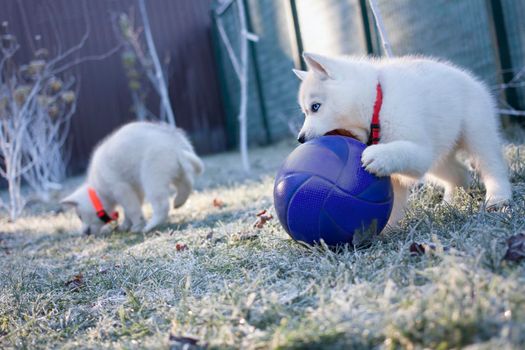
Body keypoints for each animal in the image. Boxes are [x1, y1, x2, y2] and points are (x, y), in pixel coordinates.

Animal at [59, 121, 203, 235]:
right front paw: (126, 225)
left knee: (162, 205)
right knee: (187, 183)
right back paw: (179, 201)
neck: (99, 190)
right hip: (178, 170)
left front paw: (137, 226)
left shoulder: (121, 189)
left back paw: (149, 226)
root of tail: (175, 145)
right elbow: (129, 211)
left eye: (79, 216)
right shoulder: (135, 189)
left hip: (152, 177)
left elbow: (132, 210)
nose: (85, 233)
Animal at [292, 52, 510, 227]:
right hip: (439, 158)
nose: (301, 139)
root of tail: (471, 79)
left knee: (491, 165)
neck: (375, 106)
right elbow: (392, 204)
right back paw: (449, 204)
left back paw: (498, 197)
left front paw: (378, 156)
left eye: (315, 107)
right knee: (460, 174)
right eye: (304, 111)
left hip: (476, 133)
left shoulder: (419, 150)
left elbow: (400, 151)